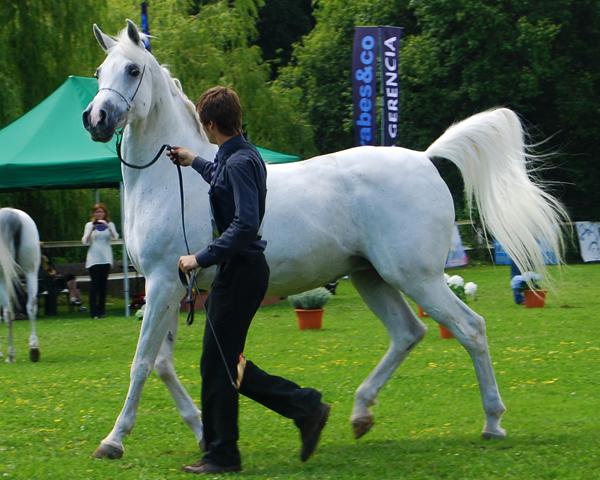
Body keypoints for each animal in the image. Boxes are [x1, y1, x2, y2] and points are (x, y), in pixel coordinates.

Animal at [0, 208, 41, 362]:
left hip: (3, 278)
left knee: (8, 312)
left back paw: (11, 355)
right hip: (31, 271)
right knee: (31, 306)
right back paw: (34, 349)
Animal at [83, 20, 568, 460]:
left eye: (132, 69)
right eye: (99, 70)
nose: (96, 119)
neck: (173, 181)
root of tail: (425, 158)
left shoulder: (165, 281)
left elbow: (143, 363)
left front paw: (113, 441)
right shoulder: (168, 288)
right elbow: (163, 365)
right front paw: (202, 431)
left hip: (418, 277)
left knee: (470, 328)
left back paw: (492, 422)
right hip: (373, 277)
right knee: (408, 332)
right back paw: (360, 415)